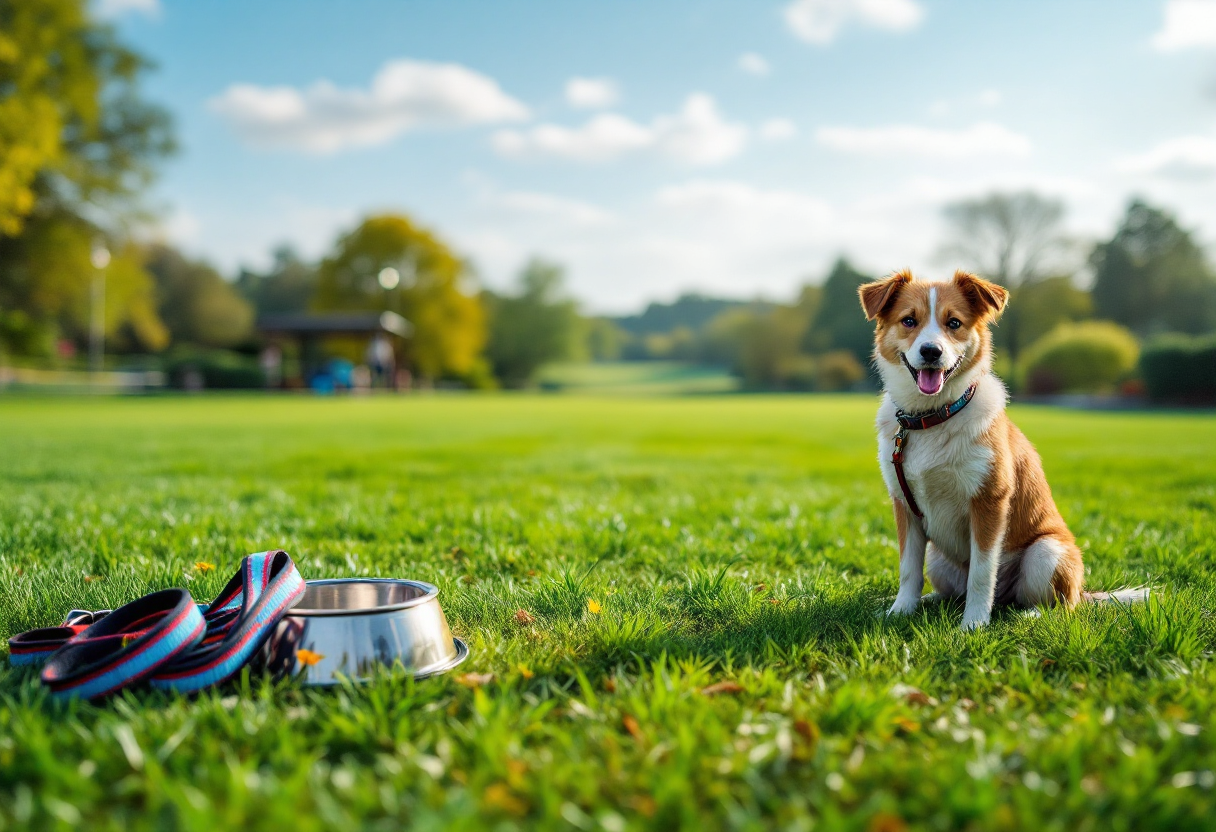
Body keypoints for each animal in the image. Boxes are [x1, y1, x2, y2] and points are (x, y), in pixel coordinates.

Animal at [856, 270, 1138, 627]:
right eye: (909, 320)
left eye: (954, 323)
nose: (931, 351)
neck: (932, 417)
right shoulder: (904, 504)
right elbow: (908, 569)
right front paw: (901, 610)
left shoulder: (989, 501)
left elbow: (981, 571)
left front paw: (974, 624)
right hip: (938, 557)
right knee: (954, 591)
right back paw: (931, 600)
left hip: (1047, 552)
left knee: (1056, 604)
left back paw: (1028, 615)